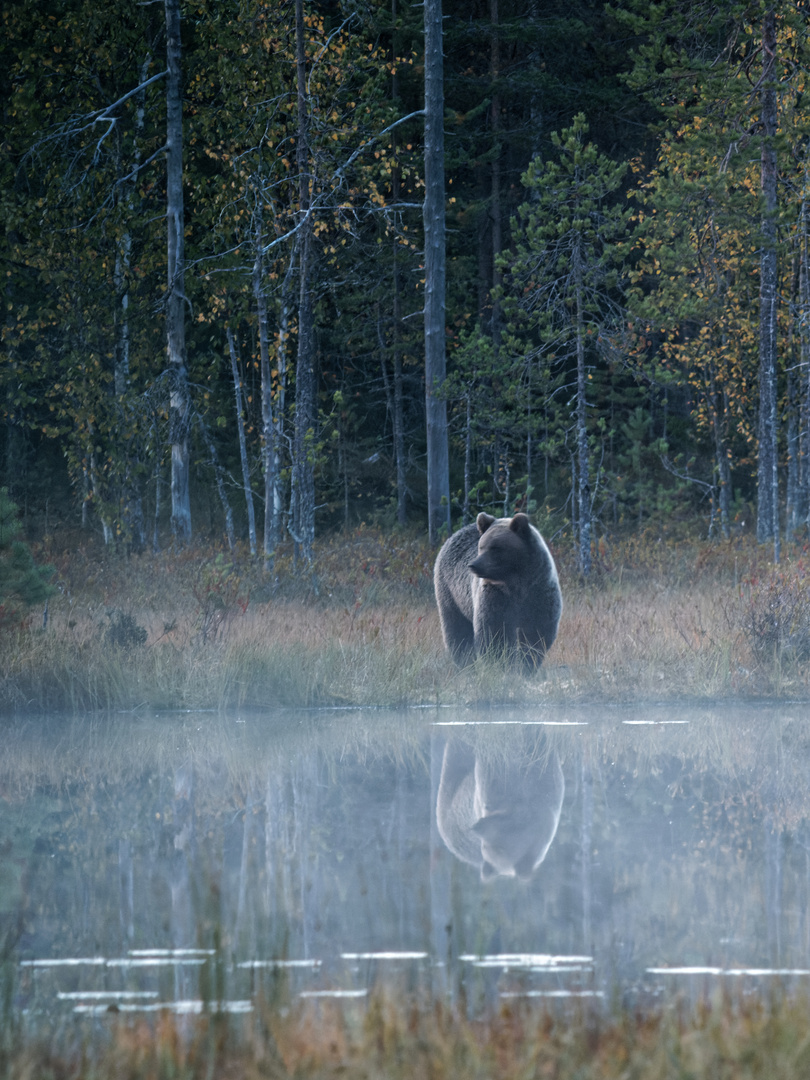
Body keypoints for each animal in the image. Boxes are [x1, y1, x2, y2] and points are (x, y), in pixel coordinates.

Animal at [434, 511, 561, 665]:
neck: (518, 583)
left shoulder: (539, 594)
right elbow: (496, 631)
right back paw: (464, 660)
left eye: (495, 547)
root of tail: (454, 535)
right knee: (456, 628)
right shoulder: (496, 595)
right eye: (481, 546)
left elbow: (535, 634)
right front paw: (500, 662)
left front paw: (527, 662)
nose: (474, 565)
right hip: (451, 592)